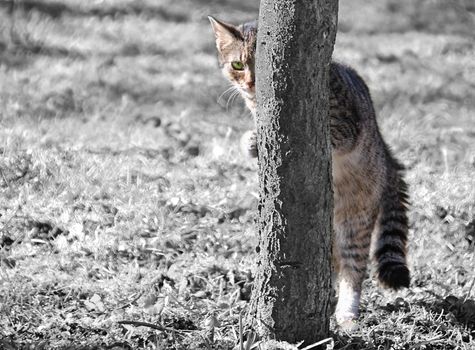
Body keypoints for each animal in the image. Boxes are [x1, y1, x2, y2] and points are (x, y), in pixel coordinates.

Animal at [210, 16, 410, 326]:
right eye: (238, 65)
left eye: (262, 66)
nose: (251, 82)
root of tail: (386, 151)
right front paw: (250, 142)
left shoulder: (348, 125)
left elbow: (330, 134)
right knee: (333, 265)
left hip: (356, 215)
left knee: (353, 267)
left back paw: (346, 311)